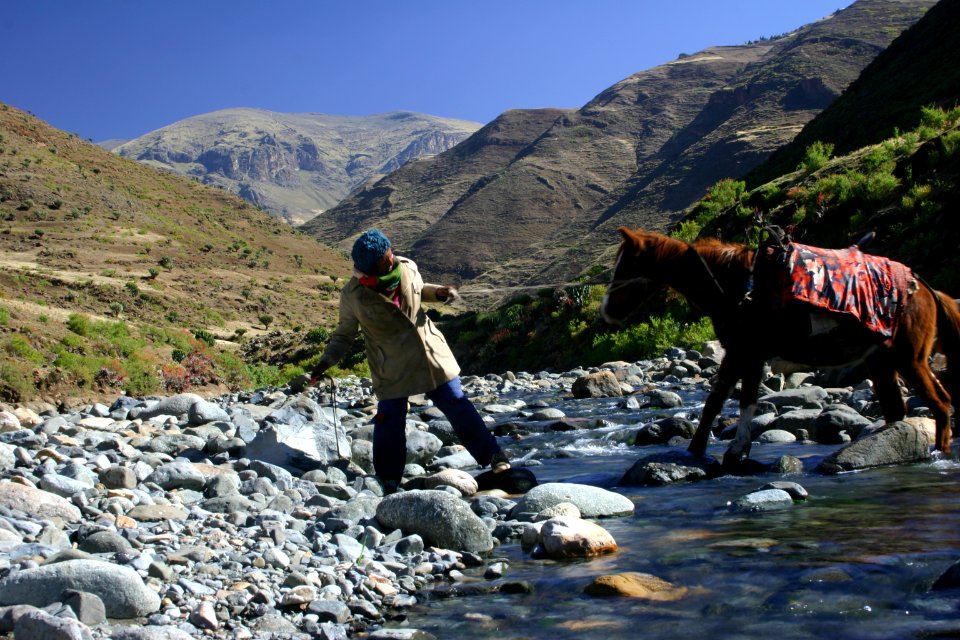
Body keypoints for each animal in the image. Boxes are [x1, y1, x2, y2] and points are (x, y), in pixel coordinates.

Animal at [600, 228, 960, 468]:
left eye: (625, 266)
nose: (605, 312)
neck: (733, 285)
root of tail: (926, 287)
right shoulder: (746, 354)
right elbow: (731, 400)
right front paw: (719, 451)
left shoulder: (744, 352)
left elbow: (724, 401)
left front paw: (715, 451)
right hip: (881, 362)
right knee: (897, 410)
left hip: (910, 358)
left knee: (941, 403)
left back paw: (940, 454)